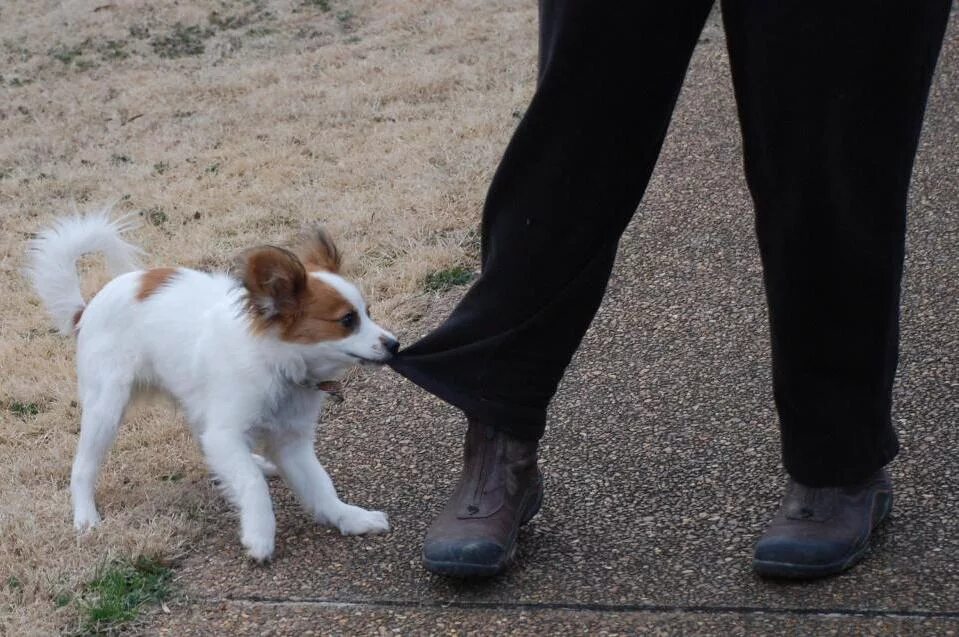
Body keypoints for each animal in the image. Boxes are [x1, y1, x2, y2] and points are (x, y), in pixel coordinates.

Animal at [24, 211, 398, 560]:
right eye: (347, 321)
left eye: (368, 312)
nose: (395, 345)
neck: (276, 364)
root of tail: (85, 309)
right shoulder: (226, 431)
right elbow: (251, 483)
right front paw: (260, 534)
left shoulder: (291, 440)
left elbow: (320, 485)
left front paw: (350, 518)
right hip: (107, 407)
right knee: (83, 467)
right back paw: (86, 518)